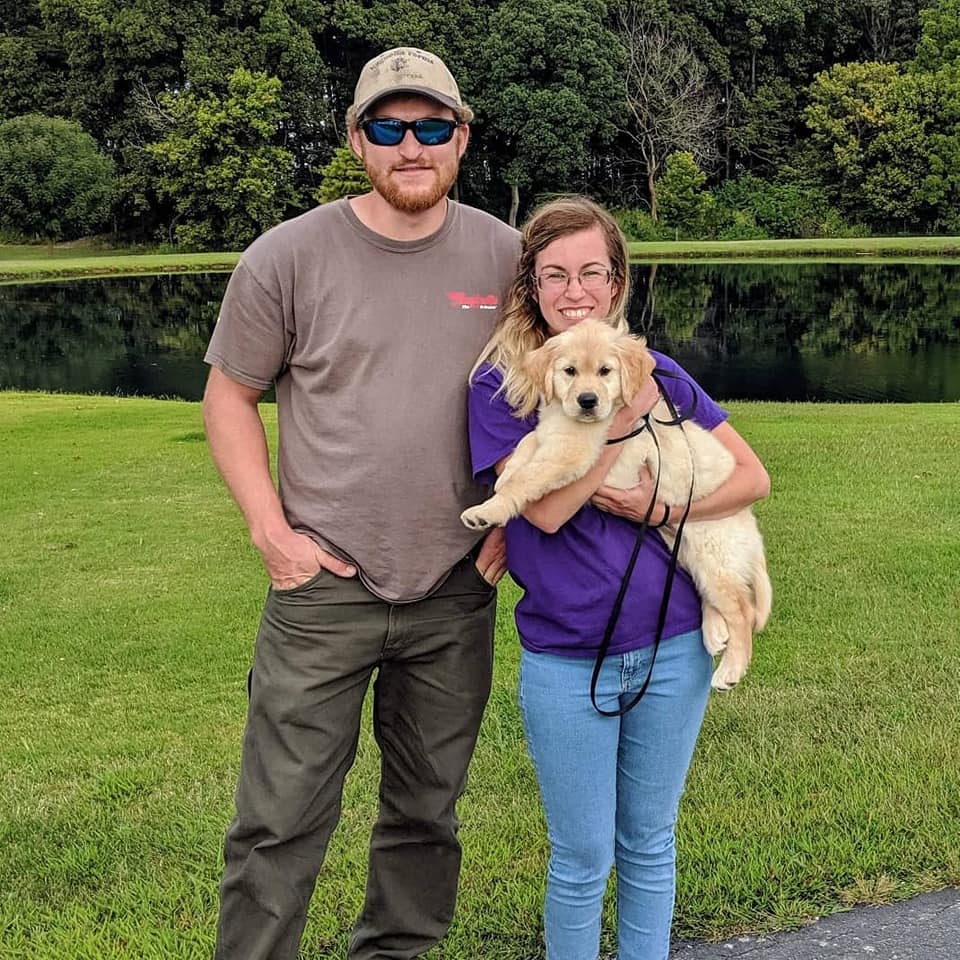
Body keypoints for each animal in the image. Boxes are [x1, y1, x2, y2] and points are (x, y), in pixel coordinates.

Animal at [460, 320, 772, 688]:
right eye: (569, 371)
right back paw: (713, 633)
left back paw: (730, 669)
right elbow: (527, 443)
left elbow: (527, 478)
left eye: (605, 371)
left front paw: (487, 510)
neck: (572, 419)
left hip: (714, 553)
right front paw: (506, 472)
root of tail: (750, 522)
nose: (587, 401)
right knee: (713, 596)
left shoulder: (573, 453)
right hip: (686, 551)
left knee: (743, 610)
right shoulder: (553, 434)